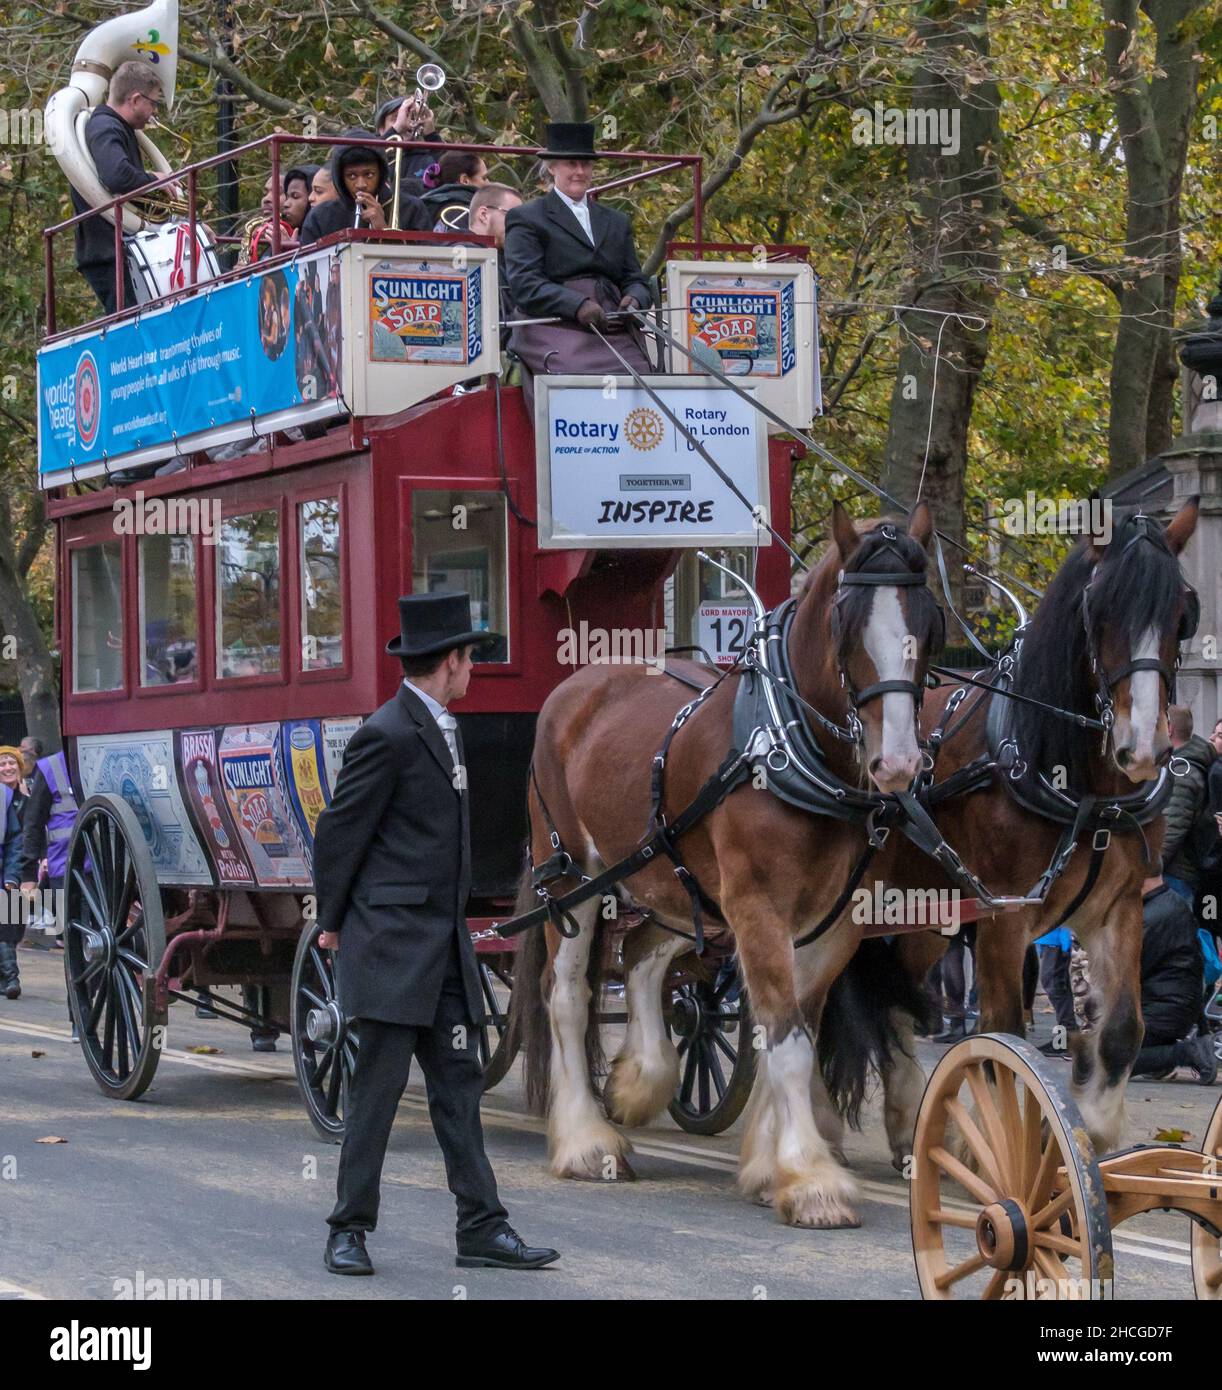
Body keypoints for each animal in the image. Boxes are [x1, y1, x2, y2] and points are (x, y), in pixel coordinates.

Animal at [514, 500, 945, 1228]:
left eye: (928, 624)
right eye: (847, 626)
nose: (898, 765)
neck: (791, 748)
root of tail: (578, 685)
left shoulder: (829, 923)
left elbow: (786, 1032)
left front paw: (771, 1169)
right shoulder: (757, 907)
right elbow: (790, 1041)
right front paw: (812, 1181)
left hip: (670, 883)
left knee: (643, 957)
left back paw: (639, 1079)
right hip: (574, 875)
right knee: (567, 995)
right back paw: (586, 1141)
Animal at [811, 494, 1206, 1167]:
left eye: (1182, 613)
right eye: (1100, 612)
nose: (1143, 748)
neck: (1082, 787)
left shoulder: (1120, 906)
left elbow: (1122, 1030)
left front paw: (1086, 1125)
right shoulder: (1004, 917)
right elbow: (1003, 1037)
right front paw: (1003, 1147)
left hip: (926, 914)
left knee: (895, 1003)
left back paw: (909, 1129)